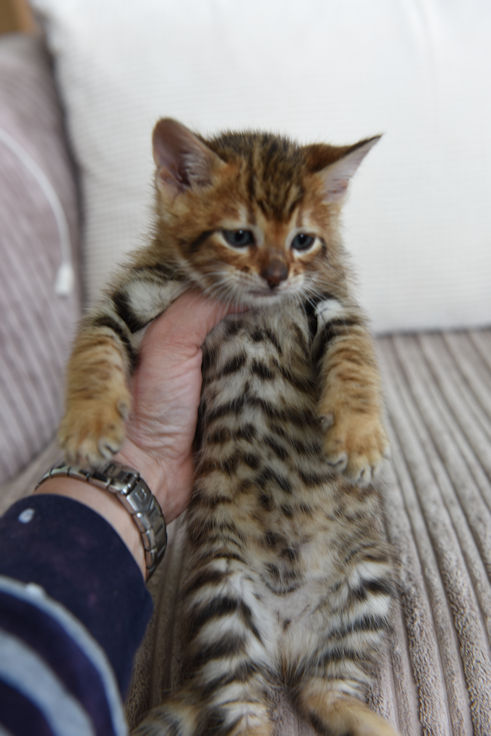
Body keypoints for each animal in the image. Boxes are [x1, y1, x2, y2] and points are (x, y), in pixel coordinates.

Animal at [59, 118, 398, 732]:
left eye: (303, 241)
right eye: (239, 236)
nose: (277, 275)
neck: (253, 308)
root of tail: (284, 640)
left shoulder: (331, 304)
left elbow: (355, 360)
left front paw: (360, 437)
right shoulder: (128, 303)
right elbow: (94, 350)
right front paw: (88, 424)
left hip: (366, 581)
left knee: (323, 689)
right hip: (222, 592)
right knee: (246, 704)